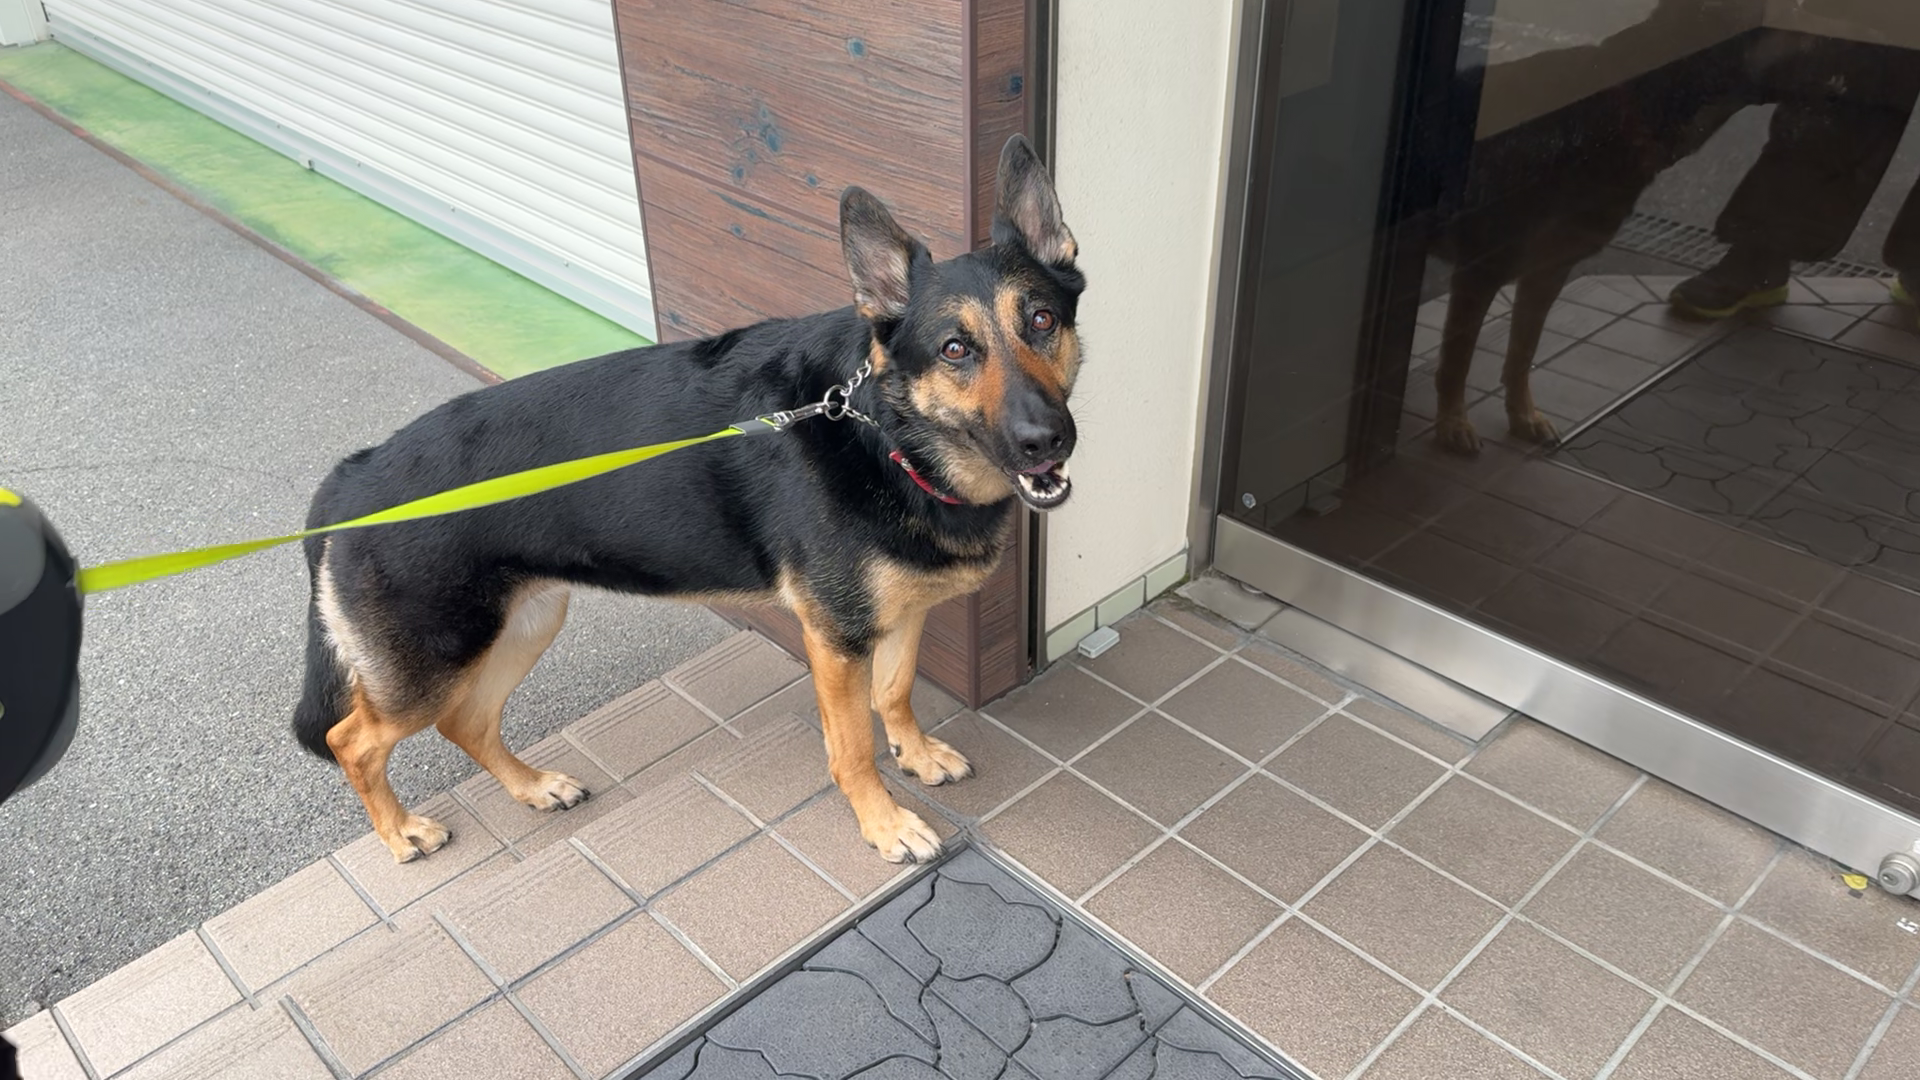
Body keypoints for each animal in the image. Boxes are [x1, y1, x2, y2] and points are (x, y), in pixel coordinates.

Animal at [292, 135, 1082, 865]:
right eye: (954, 349)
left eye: (1042, 321)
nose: (1048, 440)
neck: (881, 431)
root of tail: (351, 475)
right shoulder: (836, 639)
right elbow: (853, 744)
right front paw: (883, 823)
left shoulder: (894, 615)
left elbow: (896, 693)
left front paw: (914, 756)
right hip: (434, 661)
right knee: (352, 738)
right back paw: (400, 832)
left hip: (525, 623)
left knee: (466, 723)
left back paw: (534, 787)